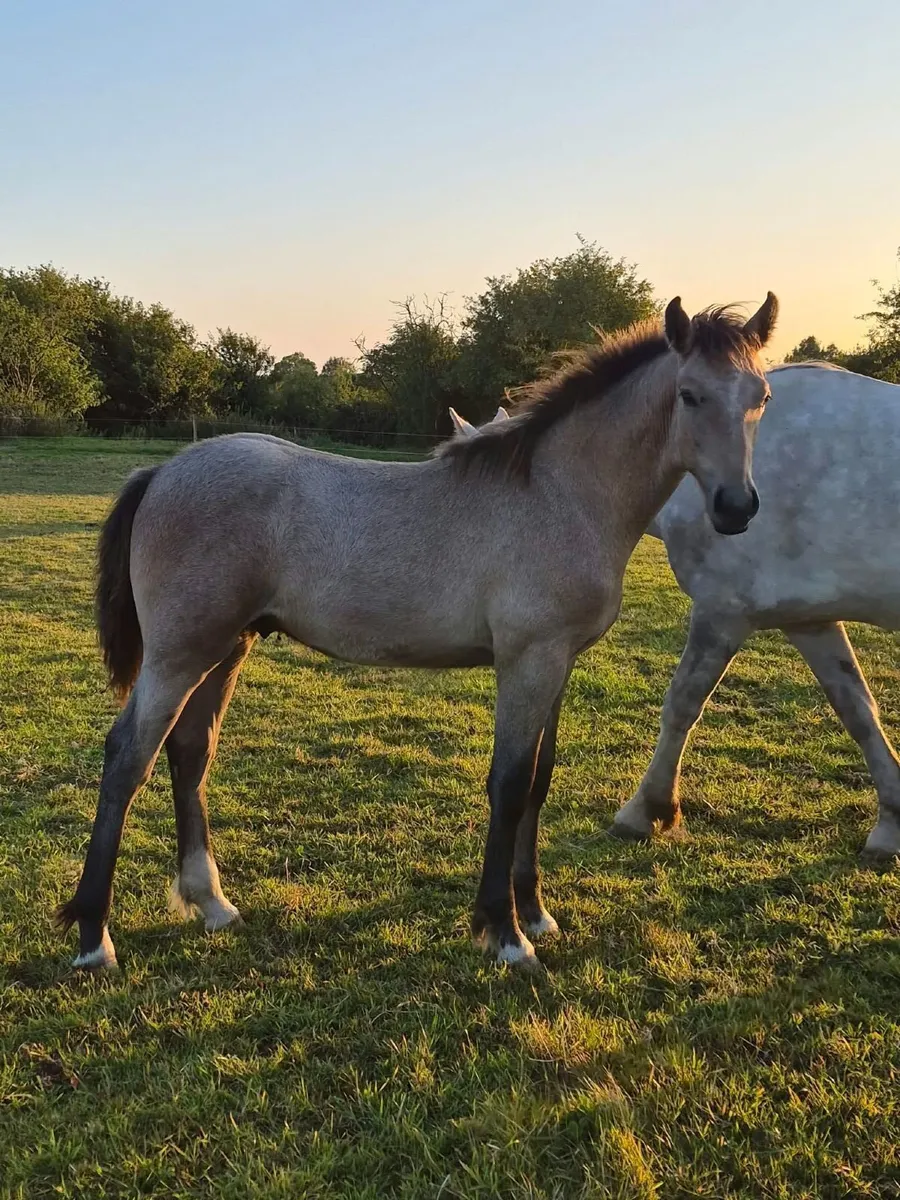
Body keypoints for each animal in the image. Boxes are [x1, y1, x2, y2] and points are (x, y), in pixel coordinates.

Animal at [57, 293, 777, 970]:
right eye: (689, 394)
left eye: (761, 398)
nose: (737, 508)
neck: (560, 495)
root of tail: (162, 472)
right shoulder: (528, 660)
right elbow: (509, 785)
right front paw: (505, 933)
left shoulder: (557, 662)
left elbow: (539, 780)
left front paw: (534, 912)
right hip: (179, 654)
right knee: (128, 756)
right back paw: (94, 937)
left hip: (225, 648)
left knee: (189, 751)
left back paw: (210, 902)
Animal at [609, 363, 900, 861]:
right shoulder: (809, 621)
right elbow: (858, 710)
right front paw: (891, 824)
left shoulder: (722, 611)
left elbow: (682, 704)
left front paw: (648, 810)